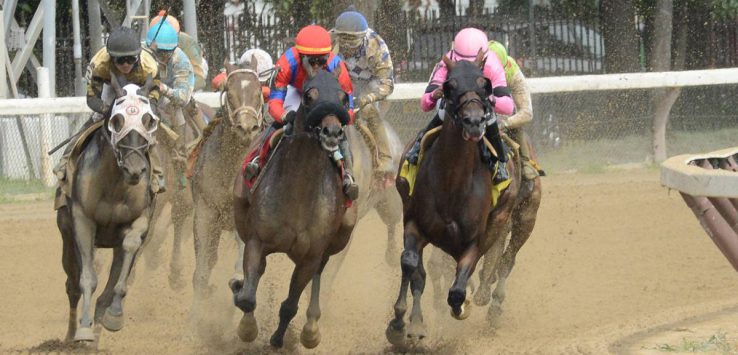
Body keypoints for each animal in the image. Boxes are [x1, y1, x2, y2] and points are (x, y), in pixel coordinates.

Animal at [56, 73, 161, 344]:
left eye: (149, 120)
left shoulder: (141, 219)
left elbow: (126, 259)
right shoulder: (82, 220)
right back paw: (71, 336)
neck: (114, 185)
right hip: (66, 235)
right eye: (117, 121)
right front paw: (83, 330)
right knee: (71, 285)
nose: (135, 169)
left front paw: (114, 316)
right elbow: (87, 279)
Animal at [230, 68, 376, 350]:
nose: (332, 132)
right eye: (309, 96)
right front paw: (245, 321)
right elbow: (247, 297)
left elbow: (290, 304)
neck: (299, 189)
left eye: (344, 98)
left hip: (340, 236)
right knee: (258, 269)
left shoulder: (310, 255)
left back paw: (311, 327)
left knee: (319, 273)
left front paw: (279, 339)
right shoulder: (257, 239)